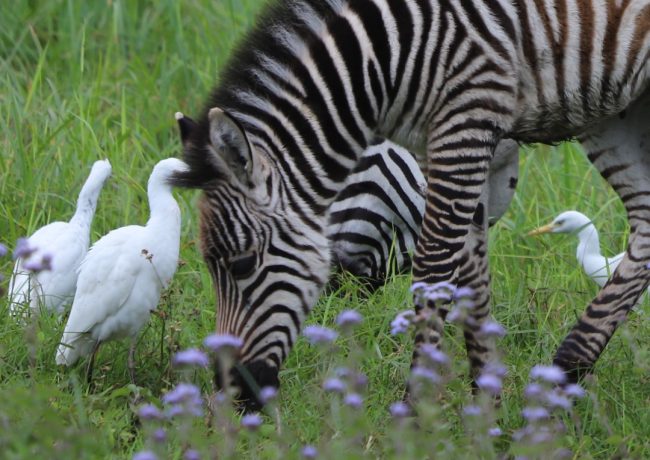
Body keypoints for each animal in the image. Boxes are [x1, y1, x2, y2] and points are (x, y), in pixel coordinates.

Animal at [172, 0, 650, 408]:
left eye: (241, 265)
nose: (235, 392)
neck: (393, 54)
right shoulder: (448, 144)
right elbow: (471, 276)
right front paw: (486, 408)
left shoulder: (465, 123)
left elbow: (435, 267)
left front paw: (416, 410)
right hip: (616, 108)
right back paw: (566, 373)